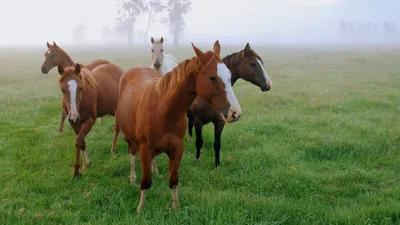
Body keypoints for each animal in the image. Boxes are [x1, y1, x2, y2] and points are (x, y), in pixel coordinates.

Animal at [115, 40, 241, 213]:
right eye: (212, 77)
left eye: (229, 75)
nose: (235, 112)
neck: (163, 110)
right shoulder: (145, 149)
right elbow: (145, 182)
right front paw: (140, 209)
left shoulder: (177, 149)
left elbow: (173, 180)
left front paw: (176, 207)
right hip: (130, 138)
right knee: (132, 154)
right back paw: (133, 177)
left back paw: (155, 170)